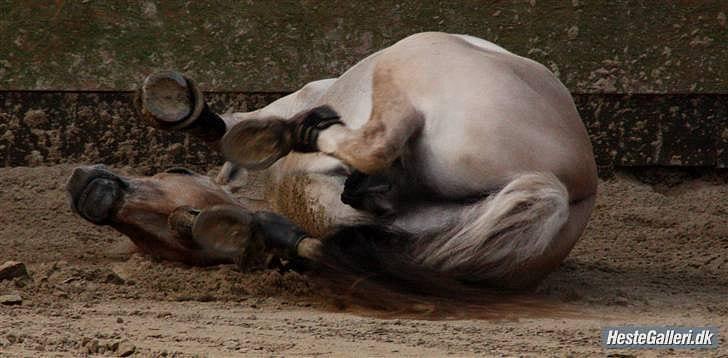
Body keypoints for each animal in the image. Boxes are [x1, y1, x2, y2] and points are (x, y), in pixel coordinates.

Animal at [67, 32, 596, 302]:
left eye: (175, 173)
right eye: (168, 245)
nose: (87, 188)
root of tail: (571, 186)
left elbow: (230, 127)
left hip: (412, 56)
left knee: (373, 142)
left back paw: (304, 137)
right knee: (371, 157)